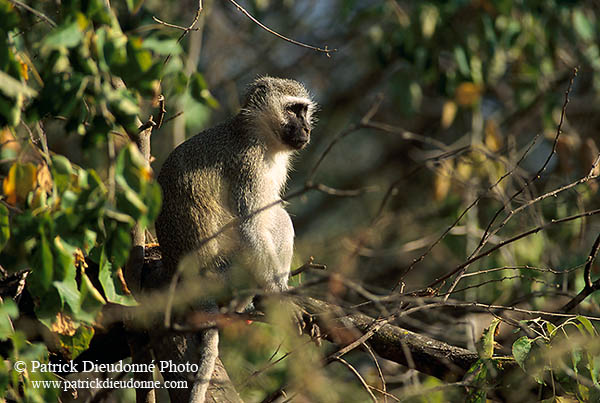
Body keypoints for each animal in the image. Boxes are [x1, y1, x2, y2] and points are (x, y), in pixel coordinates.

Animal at [152, 77, 316, 402]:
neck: (258, 137)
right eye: (293, 110)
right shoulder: (247, 164)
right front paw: (279, 295)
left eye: (305, 111)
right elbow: (249, 225)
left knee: (279, 217)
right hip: (227, 272)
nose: (306, 129)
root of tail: (190, 280)